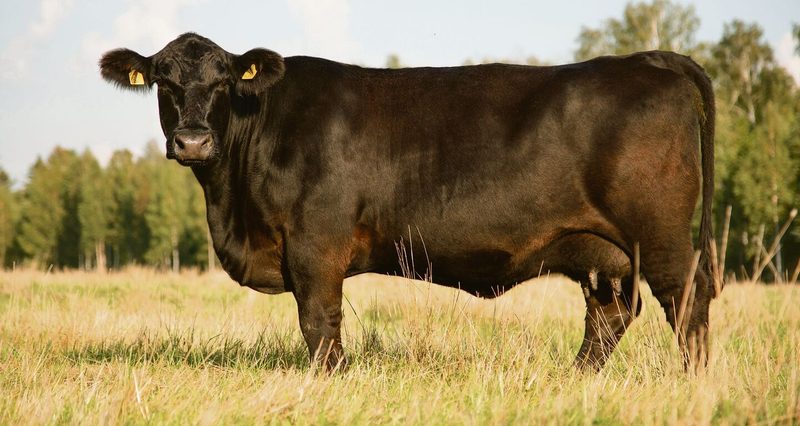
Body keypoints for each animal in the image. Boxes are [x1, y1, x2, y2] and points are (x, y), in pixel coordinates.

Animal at [100, 33, 717, 371]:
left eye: (225, 81)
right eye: (162, 81)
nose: (192, 141)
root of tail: (643, 60)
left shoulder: (315, 246)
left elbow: (319, 326)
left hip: (660, 235)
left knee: (687, 300)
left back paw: (695, 383)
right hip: (604, 252)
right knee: (609, 315)